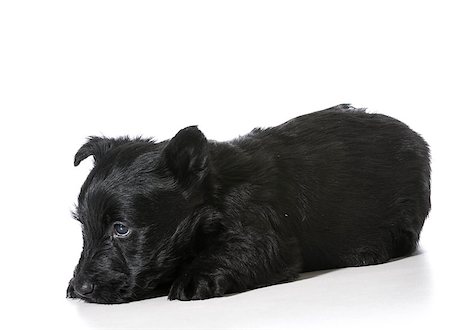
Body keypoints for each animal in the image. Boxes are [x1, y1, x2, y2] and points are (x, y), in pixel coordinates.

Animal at [66, 104, 428, 302]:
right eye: (83, 227)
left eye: (121, 228)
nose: (82, 287)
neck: (216, 192)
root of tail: (416, 137)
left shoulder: (265, 238)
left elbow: (232, 253)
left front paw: (194, 277)